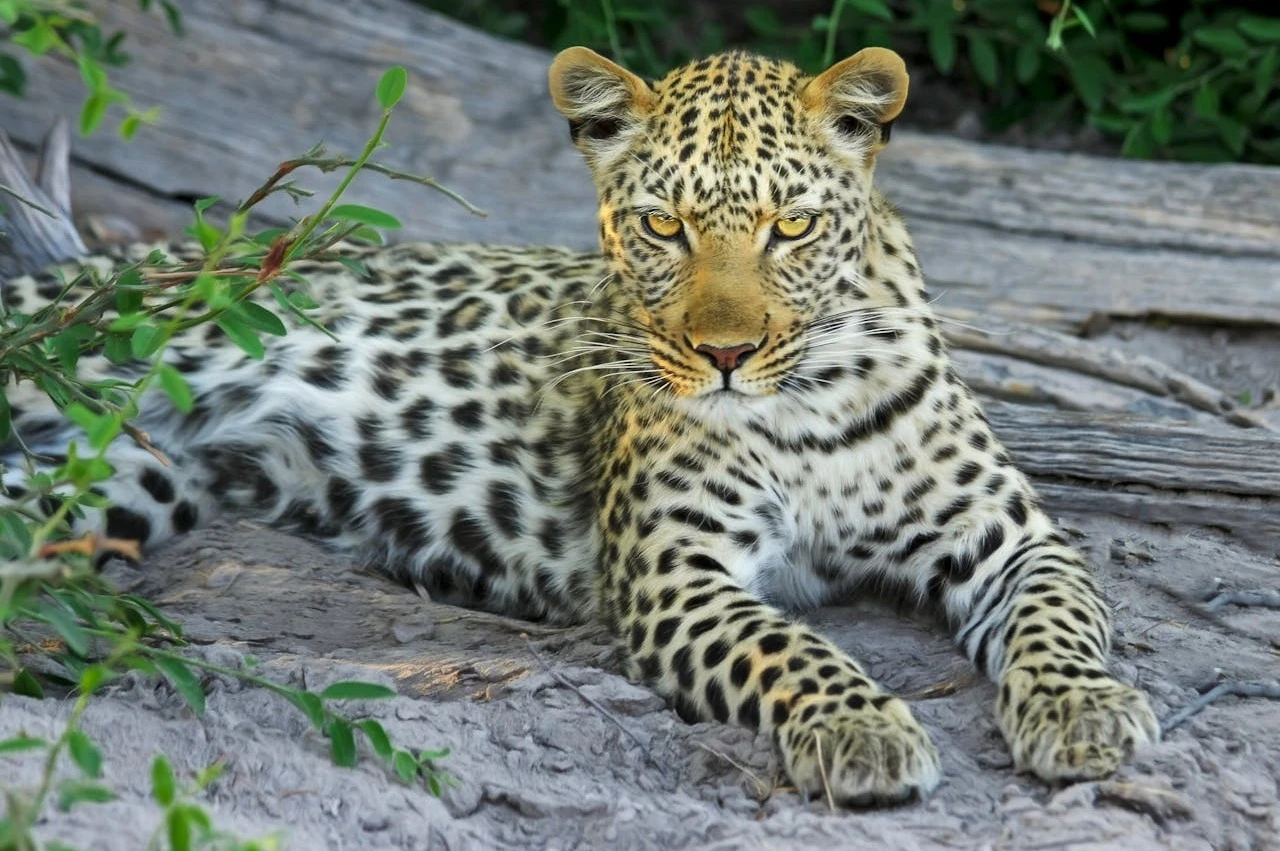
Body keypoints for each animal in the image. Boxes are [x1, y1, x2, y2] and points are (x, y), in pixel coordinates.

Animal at [1, 45, 1158, 805]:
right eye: (662, 226)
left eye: (791, 226)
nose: (725, 354)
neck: (808, 399)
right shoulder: (675, 572)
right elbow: (789, 643)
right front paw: (858, 723)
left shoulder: (1010, 535)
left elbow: (1059, 616)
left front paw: (1084, 711)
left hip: (118, 482)